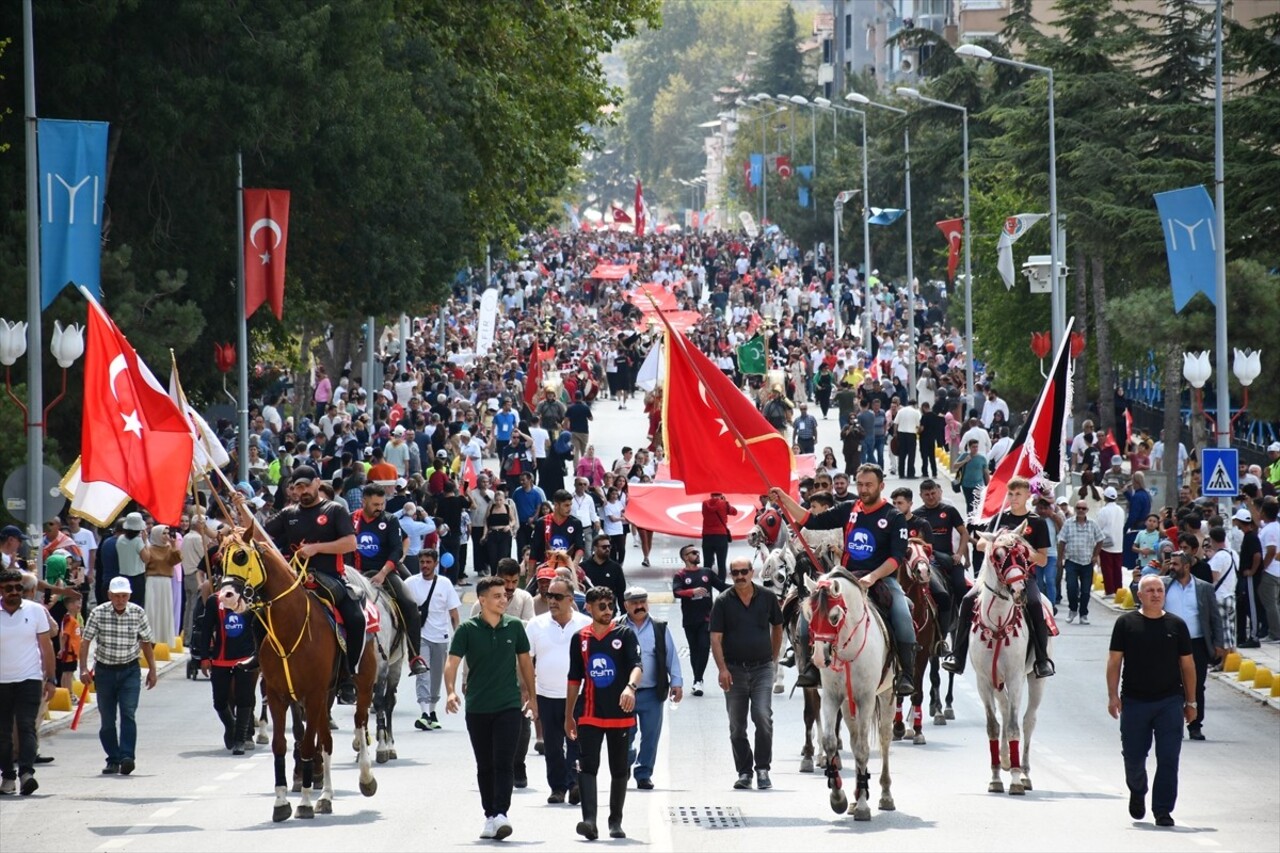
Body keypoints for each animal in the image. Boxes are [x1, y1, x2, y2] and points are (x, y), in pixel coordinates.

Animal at [217, 535, 376, 819]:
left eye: (241, 556)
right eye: (220, 558)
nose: (226, 596)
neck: (289, 628)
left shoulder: (311, 695)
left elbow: (308, 745)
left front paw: (304, 802)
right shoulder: (279, 695)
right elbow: (281, 745)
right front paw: (281, 802)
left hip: (362, 683)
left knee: (359, 722)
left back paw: (366, 777)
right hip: (325, 696)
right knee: (327, 741)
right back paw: (325, 796)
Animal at [803, 563, 896, 819]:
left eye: (834, 617)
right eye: (809, 615)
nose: (819, 658)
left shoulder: (866, 699)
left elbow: (864, 749)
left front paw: (863, 806)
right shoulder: (832, 697)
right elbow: (830, 742)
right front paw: (838, 797)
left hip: (887, 694)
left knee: (884, 738)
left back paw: (885, 795)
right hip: (847, 705)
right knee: (854, 740)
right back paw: (855, 796)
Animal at [967, 527, 1049, 794]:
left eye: (1023, 554)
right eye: (998, 555)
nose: (1019, 591)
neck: (999, 624)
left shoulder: (1014, 678)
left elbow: (1014, 726)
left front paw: (1014, 779)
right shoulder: (983, 681)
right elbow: (993, 726)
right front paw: (995, 777)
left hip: (1033, 680)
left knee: (1027, 720)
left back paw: (1023, 772)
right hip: (998, 681)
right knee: (1003, 710)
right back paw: (1004, 760)